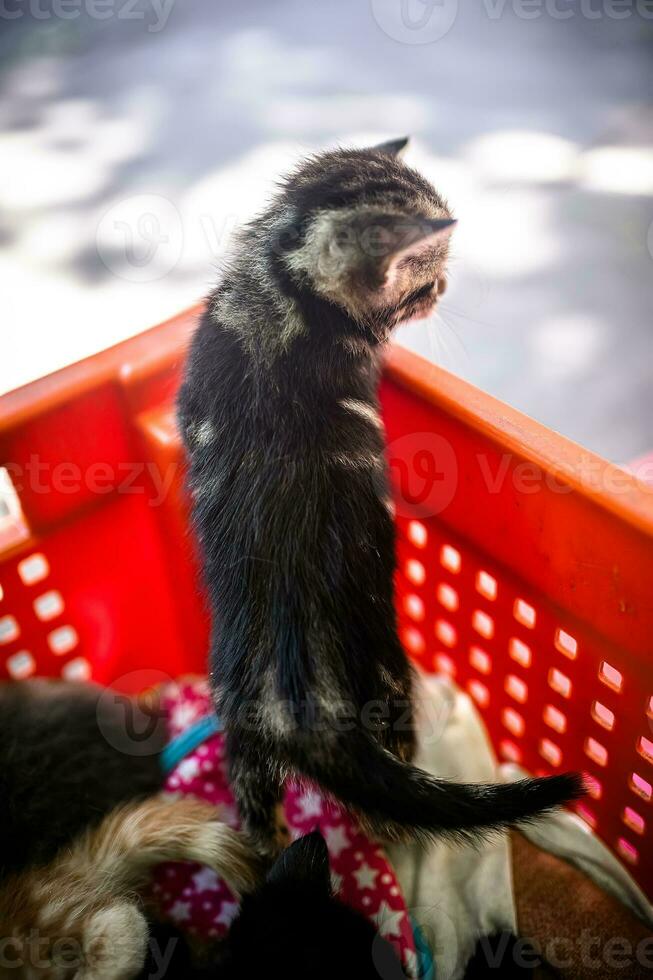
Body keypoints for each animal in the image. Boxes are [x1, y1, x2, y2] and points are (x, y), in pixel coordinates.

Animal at [177, 138, 580, 856]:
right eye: (425, 280)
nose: (444, 290)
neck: (282, 294)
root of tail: (297, 708)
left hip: (240, 738)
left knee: (260, 816)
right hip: (392, 690)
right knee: (386, 800)